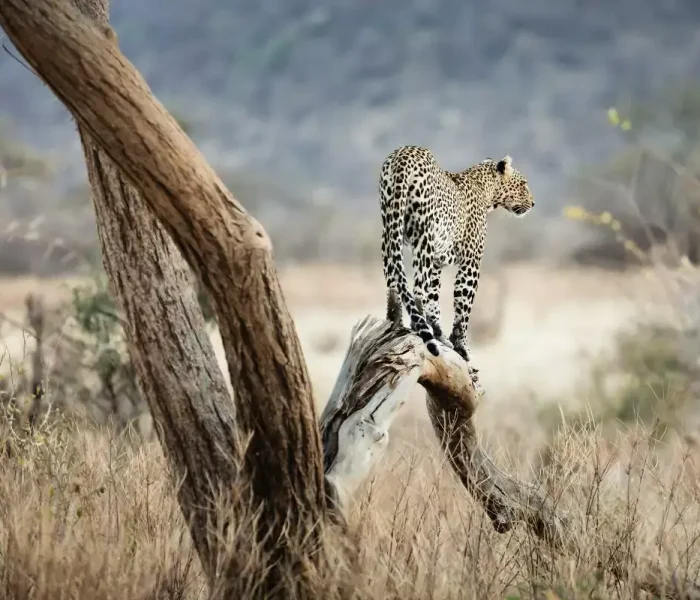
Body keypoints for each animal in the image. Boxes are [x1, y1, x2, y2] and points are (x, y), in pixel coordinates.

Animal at [379, 145, 535, 368]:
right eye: (523, 184)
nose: (533, 203)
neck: (485, 190)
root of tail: (404, 154)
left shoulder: (437, 262)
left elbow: (434, 298)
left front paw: (440, 334)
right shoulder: (471, 262)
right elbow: (463, 306)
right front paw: (461, 346)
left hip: (389, 229)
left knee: (394, 283)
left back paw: (396, 322)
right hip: (423, 236)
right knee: (417, 289)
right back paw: (417, 327)